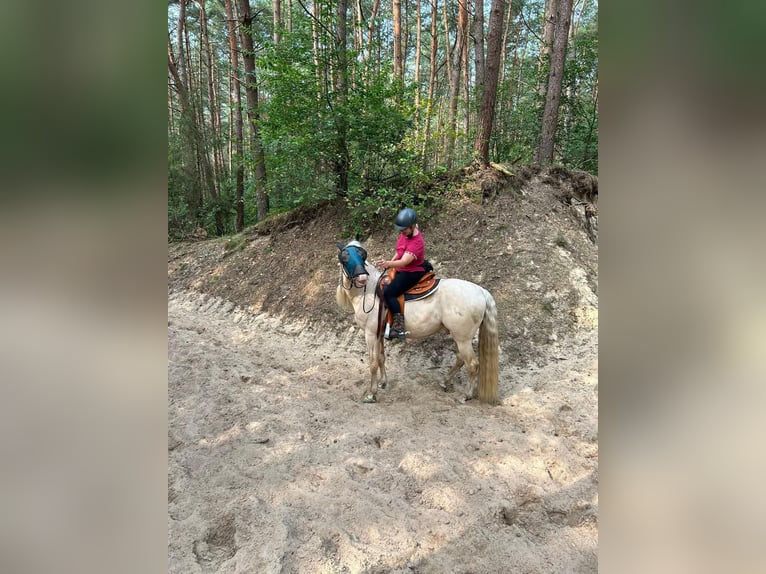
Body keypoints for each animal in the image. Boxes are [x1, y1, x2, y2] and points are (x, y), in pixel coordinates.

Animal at [336, 241, 504, 408]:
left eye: (362, 255)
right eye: (345, 256)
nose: (362, 277)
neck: (371, 291)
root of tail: (480, 290)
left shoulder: (370, 334)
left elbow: (373, 363)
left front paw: (371, 394)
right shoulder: (379, 334)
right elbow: (381, 358)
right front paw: (383, 383)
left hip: (463, 339)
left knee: (472, 364)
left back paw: (465, 395)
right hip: (460, 337)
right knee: (461, 359)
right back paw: (445, 382)